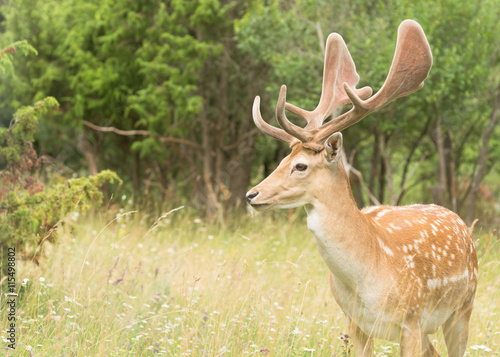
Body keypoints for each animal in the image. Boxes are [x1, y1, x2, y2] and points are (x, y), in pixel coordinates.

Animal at [246, 20, 476, 356]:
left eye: (300, 165)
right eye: (282, 159)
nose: (252, 194)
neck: (367, 278)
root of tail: (460, 221)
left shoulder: (411, 319)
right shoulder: (354, 322)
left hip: (464, 306)